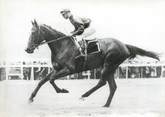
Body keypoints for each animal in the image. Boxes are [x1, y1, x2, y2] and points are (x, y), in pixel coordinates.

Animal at [25, 19, 159, 107]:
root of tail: (124, 45)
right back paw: (106, 104)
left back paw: (84, 95)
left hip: (108, 64)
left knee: (102, 82)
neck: (62, 45)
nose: (27, 49)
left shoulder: (69, 69)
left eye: (33, 32)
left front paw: (63, 90)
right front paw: (30, 98)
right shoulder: (57, 68)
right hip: (111, 67)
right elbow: (42, 80)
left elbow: (51, 79)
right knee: (112, 86)